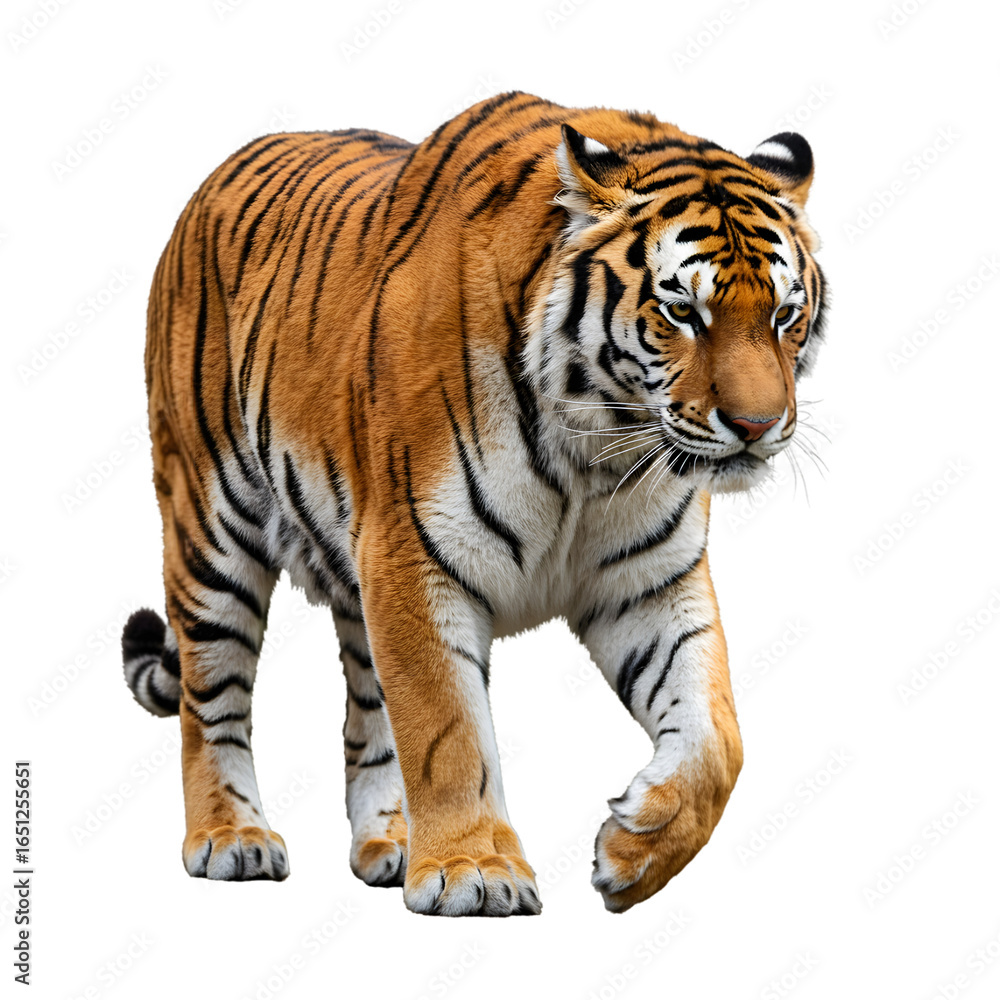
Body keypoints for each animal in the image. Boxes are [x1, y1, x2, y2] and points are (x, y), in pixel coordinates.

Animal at [121, 91, 826, 916]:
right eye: (683, 311)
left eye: (784, 315)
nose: (757, 425)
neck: (599, 452)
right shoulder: (416, 556)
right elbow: (447, 730)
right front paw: (474, 871)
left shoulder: (647, 581)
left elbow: (719, 734)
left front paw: (637, 850)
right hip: (210, 528)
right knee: (212, 701)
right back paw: (232, 836)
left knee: (368, 713)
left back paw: (393, 840)